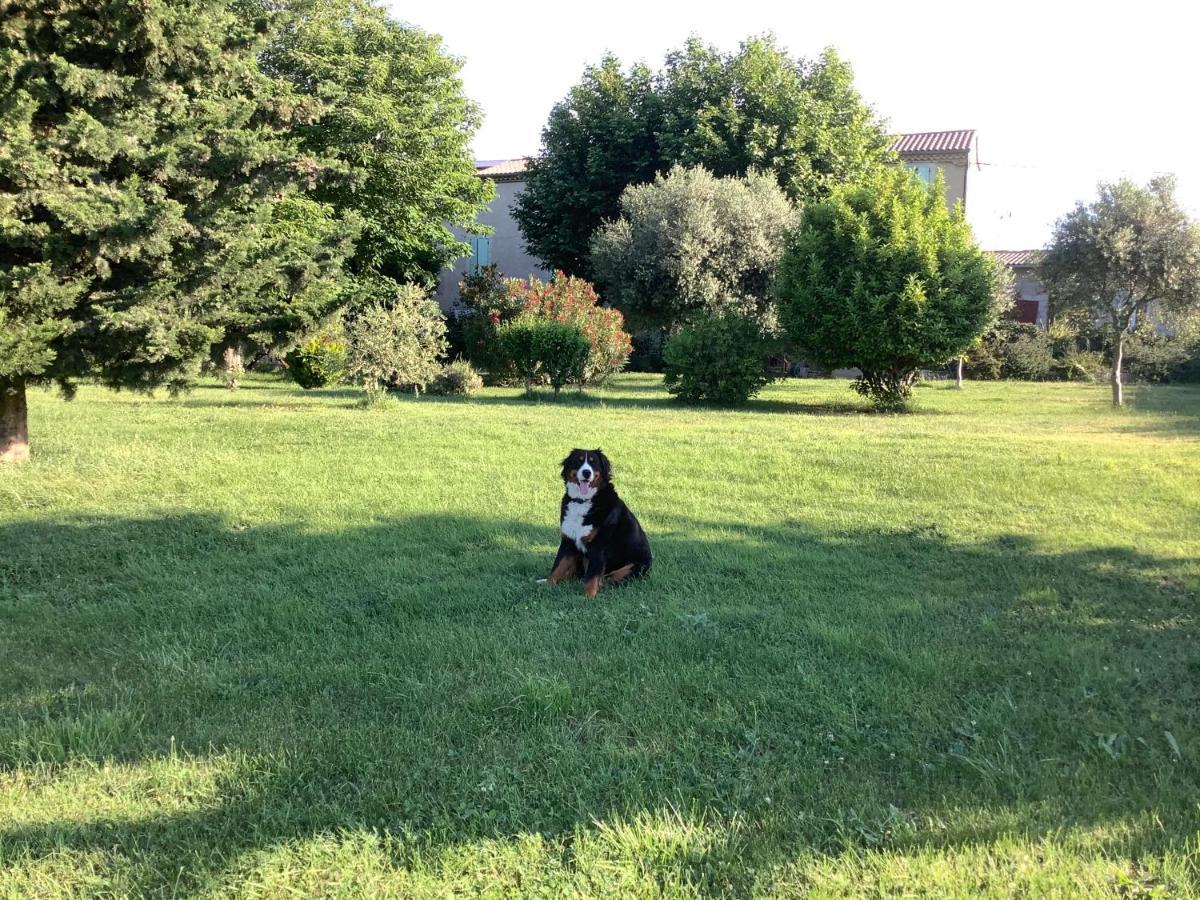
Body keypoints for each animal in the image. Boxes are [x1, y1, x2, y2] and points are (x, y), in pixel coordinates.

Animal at [547, 448, 652, 600]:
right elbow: (557, 567)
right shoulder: (568, 541)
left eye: (593, 462)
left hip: (634, 566)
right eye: (579, 461)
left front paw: (588, 596)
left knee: (608, 579)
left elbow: (592, 576)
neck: (582, 501)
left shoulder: (598, 546)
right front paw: (545, 587)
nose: (586, 472)